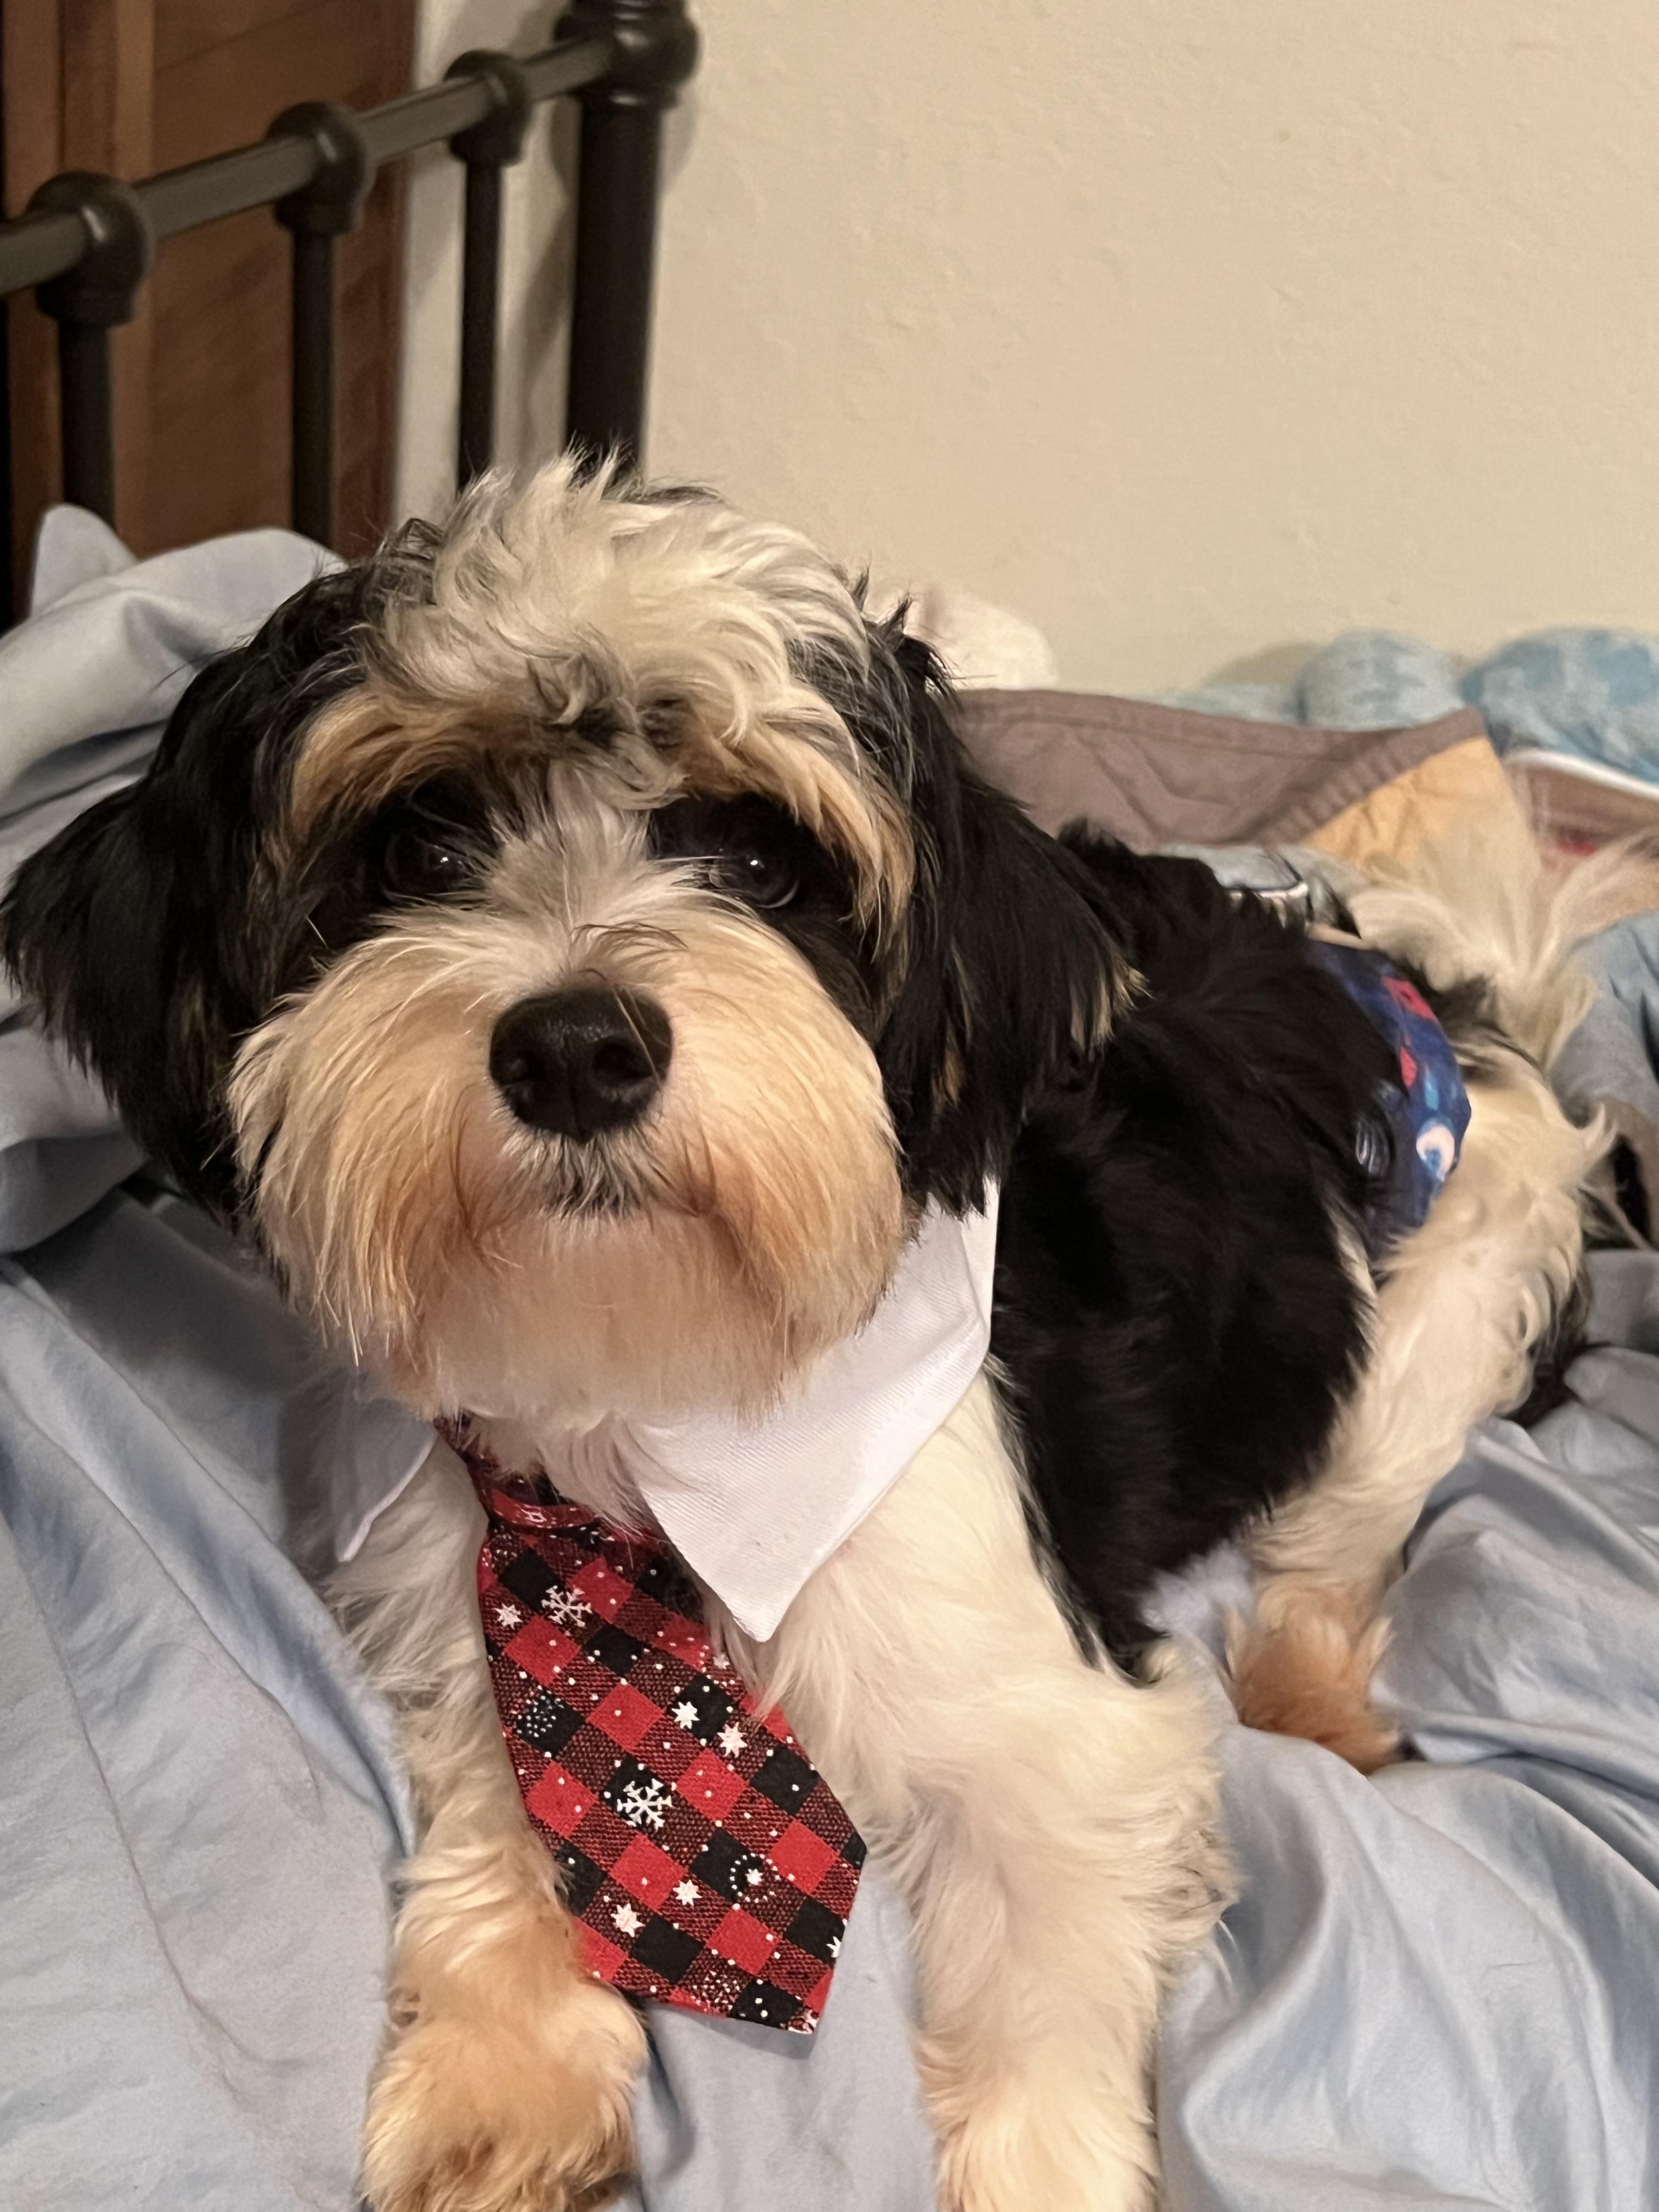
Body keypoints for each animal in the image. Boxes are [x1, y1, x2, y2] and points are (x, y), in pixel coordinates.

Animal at [2, 457, 1624, 2212]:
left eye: (767, 867)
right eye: (419, 839)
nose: (576, 1047)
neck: (666, 1397)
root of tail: (1444, 994)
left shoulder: (1065, 1740)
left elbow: (1047, 1997)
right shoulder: (468, 1612)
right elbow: (519, 1812)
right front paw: (504, 2070)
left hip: (1439, 1309)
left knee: (1341, 1537)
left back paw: (1313, 1695)